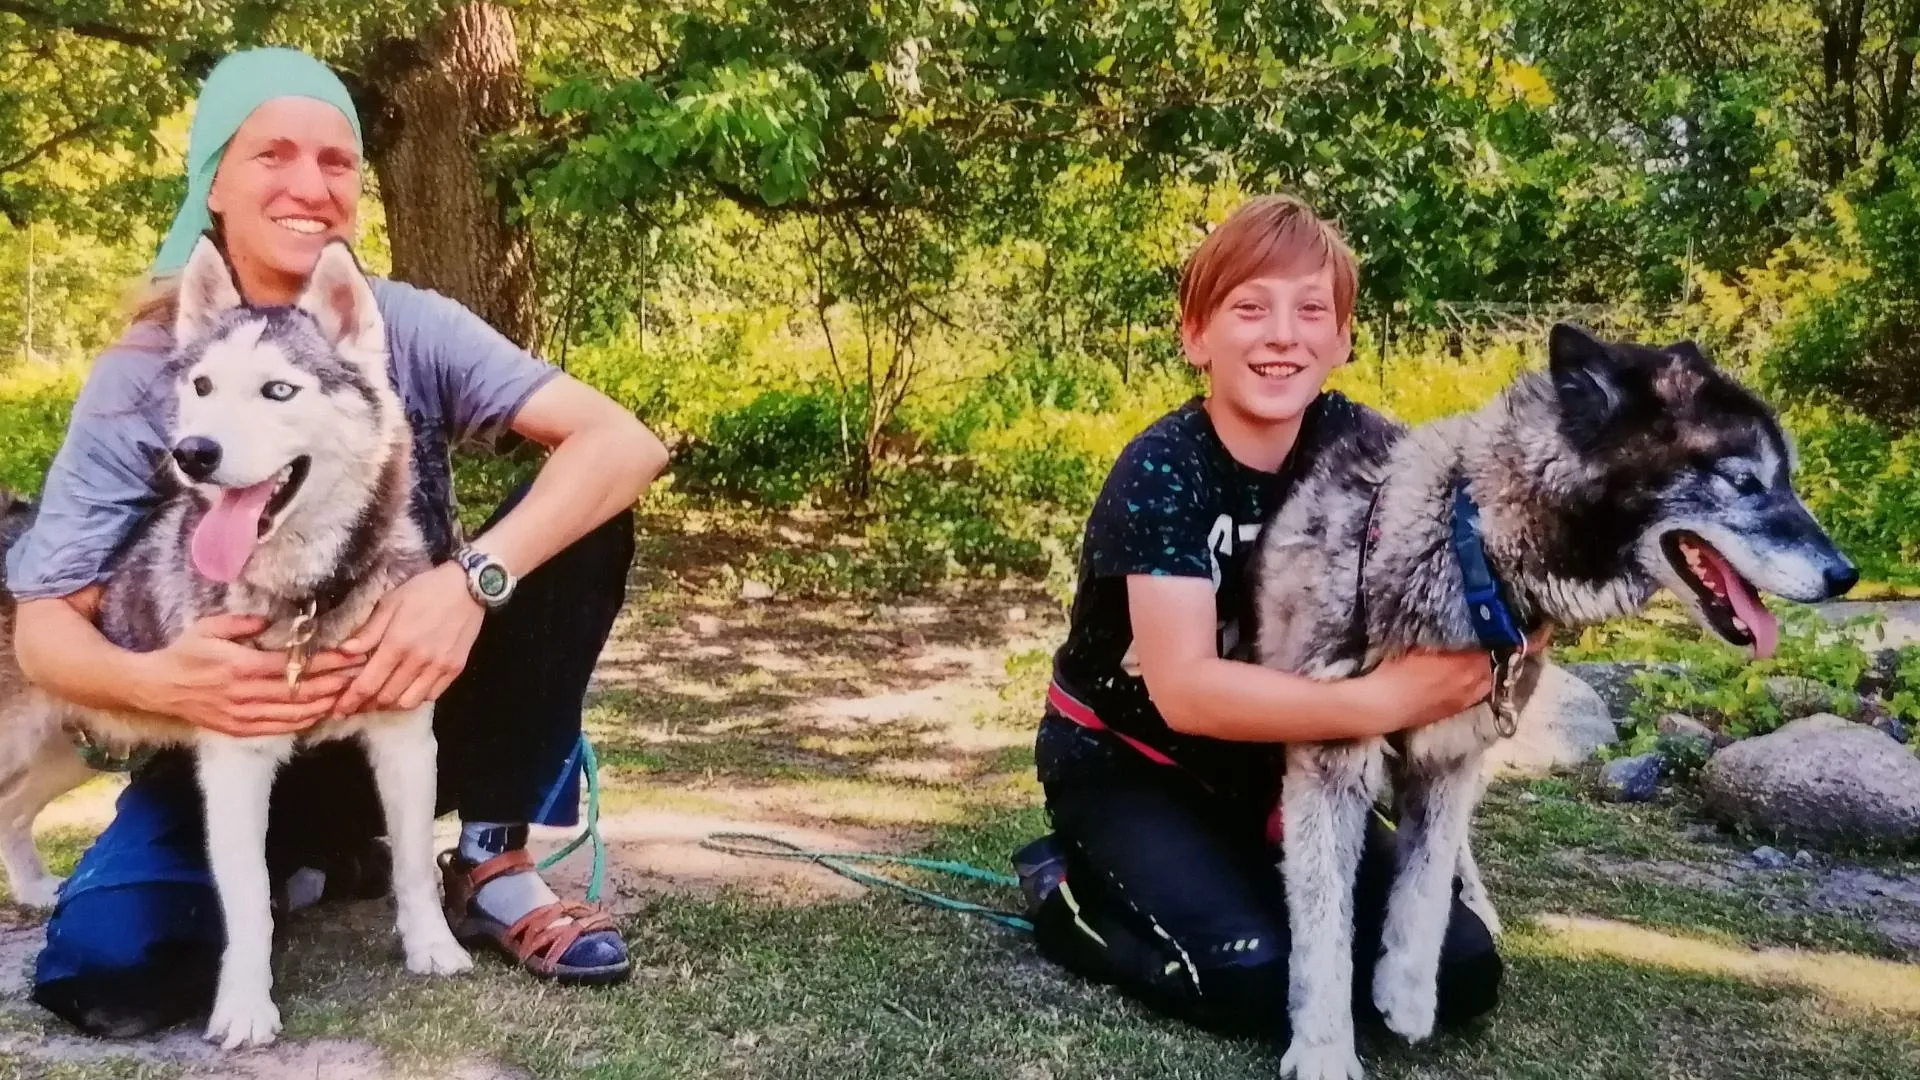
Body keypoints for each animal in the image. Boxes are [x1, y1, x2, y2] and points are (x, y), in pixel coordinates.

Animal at [0, 235, 471, 1049]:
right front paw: (246, 1007)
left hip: (64, 749)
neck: (308, 597)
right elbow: (247, 899)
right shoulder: (234, 764)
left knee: (12, 811)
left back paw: (33, 887)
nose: (194, 451)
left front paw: (431, 947)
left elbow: (414, 862)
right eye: (203, 386)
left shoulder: (406, 739)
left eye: (279, 391)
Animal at [1249, 323, 1857, 1080]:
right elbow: (1325, 930)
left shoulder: (1451, 755)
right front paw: (1325, 1050)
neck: (1468, 541)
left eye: (1786, 479)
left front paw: (1407, 992)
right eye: (1744, 481)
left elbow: (1425, 886)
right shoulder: (1331, 761)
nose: (1846, 575)